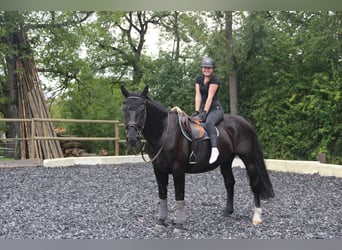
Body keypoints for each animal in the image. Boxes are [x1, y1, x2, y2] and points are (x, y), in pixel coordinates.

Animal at [121, 85, 274, 232]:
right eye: (125, 108)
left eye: (142, 108)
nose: (132, 138)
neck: (165, 132)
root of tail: (244, 122)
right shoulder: (158, 170)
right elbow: (162, 194)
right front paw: (161, 221)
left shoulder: (178, 169)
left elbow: (179, 195)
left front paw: (179, 225)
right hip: (226, 160)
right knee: (229, 182)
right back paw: (228, 211)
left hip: (249, 159)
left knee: (254, 183)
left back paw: (257, 216)